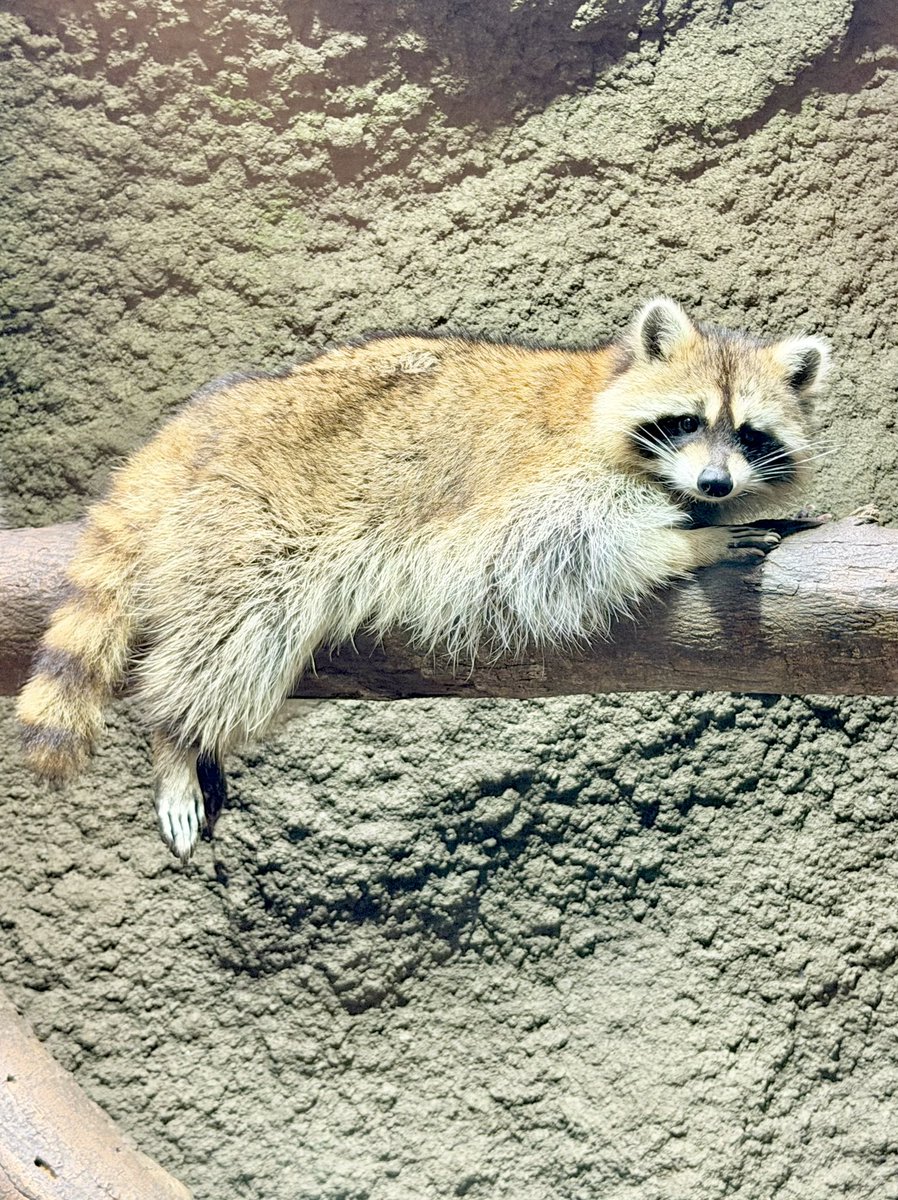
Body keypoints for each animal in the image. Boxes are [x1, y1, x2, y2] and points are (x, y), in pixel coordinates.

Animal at [17, 297, 829, 860]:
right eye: (687, 421)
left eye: (750, 434)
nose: (717, 485)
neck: (606, 381)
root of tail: (197, 423)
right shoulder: (544, 479)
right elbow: (545, 552)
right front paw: (686, 545)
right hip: (250, 519)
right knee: (231, 633)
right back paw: (175, 739)